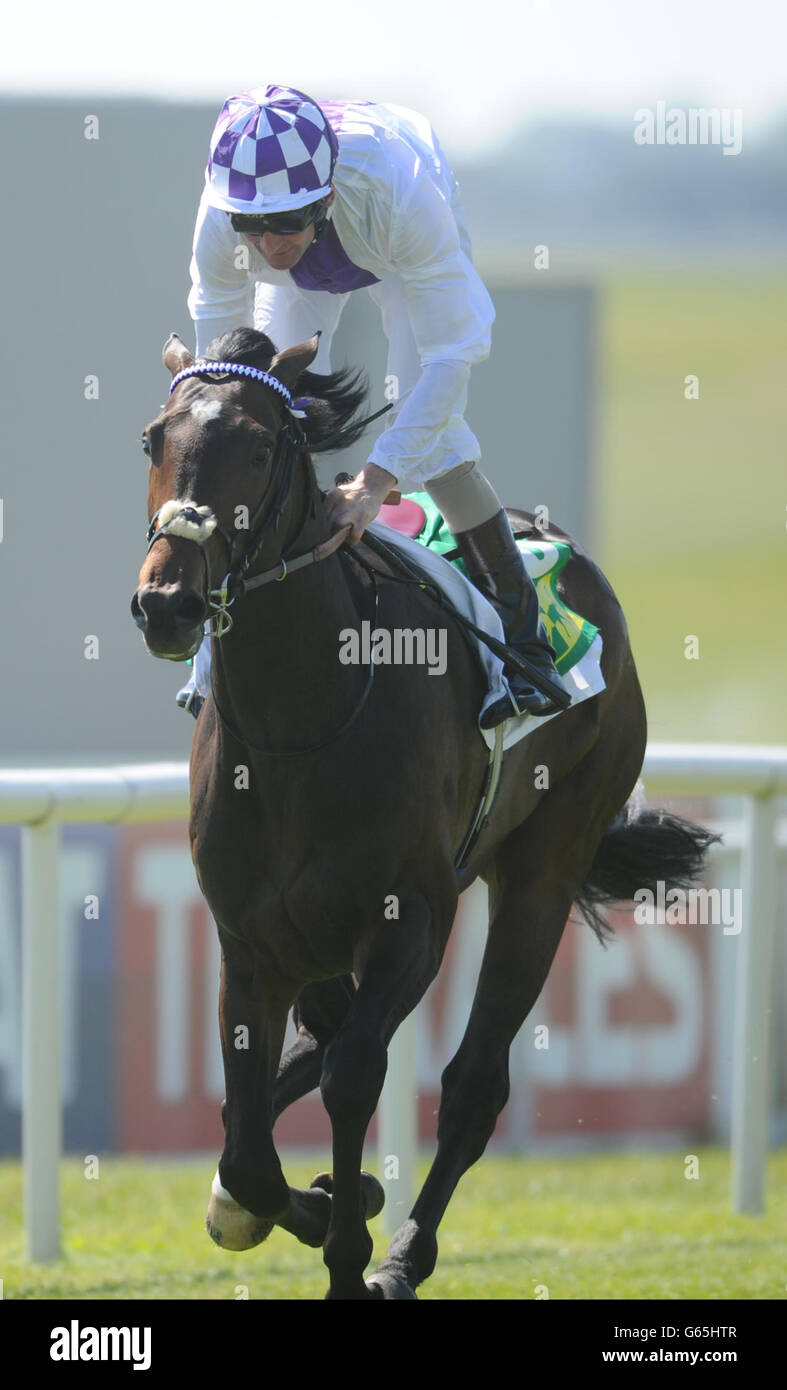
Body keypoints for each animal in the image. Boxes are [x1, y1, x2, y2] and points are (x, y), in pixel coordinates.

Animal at [132, 328, 717, 1301]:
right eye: (152, 440)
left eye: (258, 448)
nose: (166, 603)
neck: (299, 722)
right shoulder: (249, 940)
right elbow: (249, 1148)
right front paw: (323, 1198)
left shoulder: (410, 922)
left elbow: (354, 1078)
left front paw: (350, 1247)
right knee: (313, 1050)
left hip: (542, 873)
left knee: (472, 1084)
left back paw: (405, 1255)